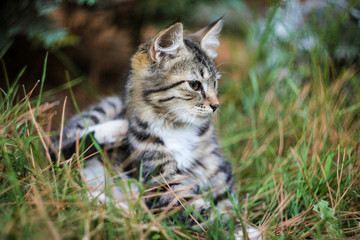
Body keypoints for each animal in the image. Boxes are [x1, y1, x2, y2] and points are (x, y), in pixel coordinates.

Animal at [57, 18, 262, 238]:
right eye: (195, 85)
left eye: (214, 83)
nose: (216, 106)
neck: (177, 126)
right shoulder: (162, 181)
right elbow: (200, 211)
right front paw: (236, 230)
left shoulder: (216, 167)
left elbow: (226, 201)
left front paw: (240, 225)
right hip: (105, 109)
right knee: (61, 149)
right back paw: (116, 131)